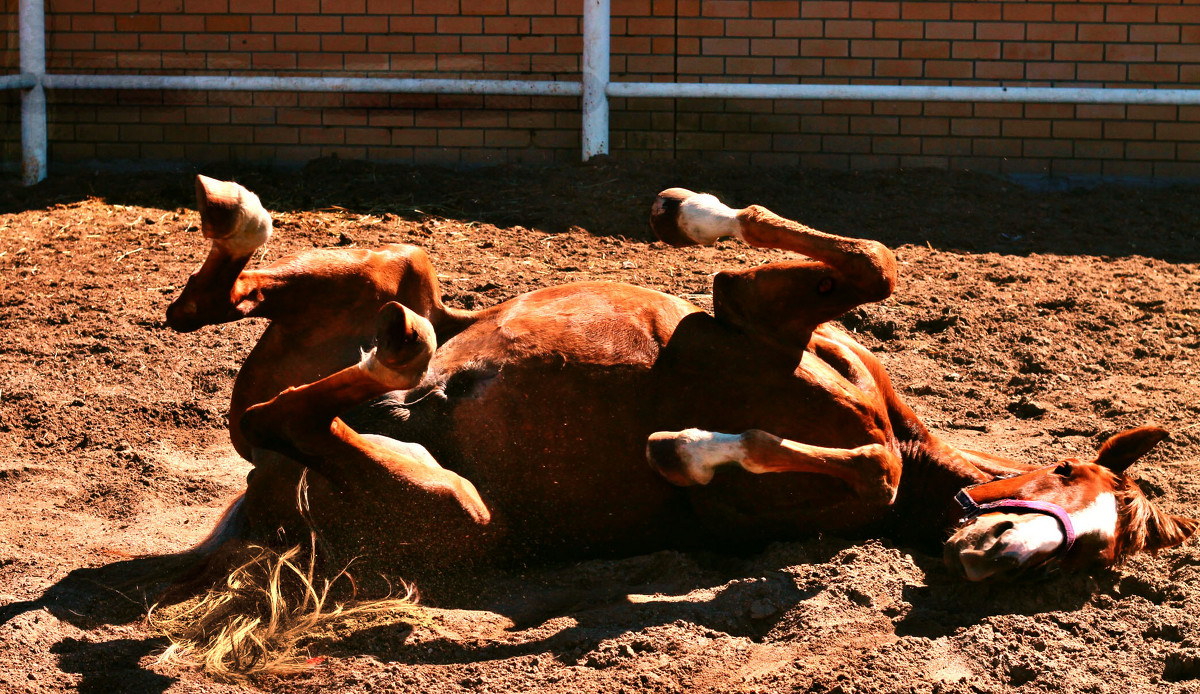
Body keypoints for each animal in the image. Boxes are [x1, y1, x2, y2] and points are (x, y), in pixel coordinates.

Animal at [166, 175, 1190, 581]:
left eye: (1101, 554)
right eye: (1071, 474)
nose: (1001, 557)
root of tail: (261, 505)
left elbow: (873, 467)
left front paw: (691, 447)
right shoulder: (750, 314)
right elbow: (874, 262)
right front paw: (693, 212)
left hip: (453, 506)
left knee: (285, 413)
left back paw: (395, 359)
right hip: (400, 268)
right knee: (218, 307)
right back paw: (238, 217)